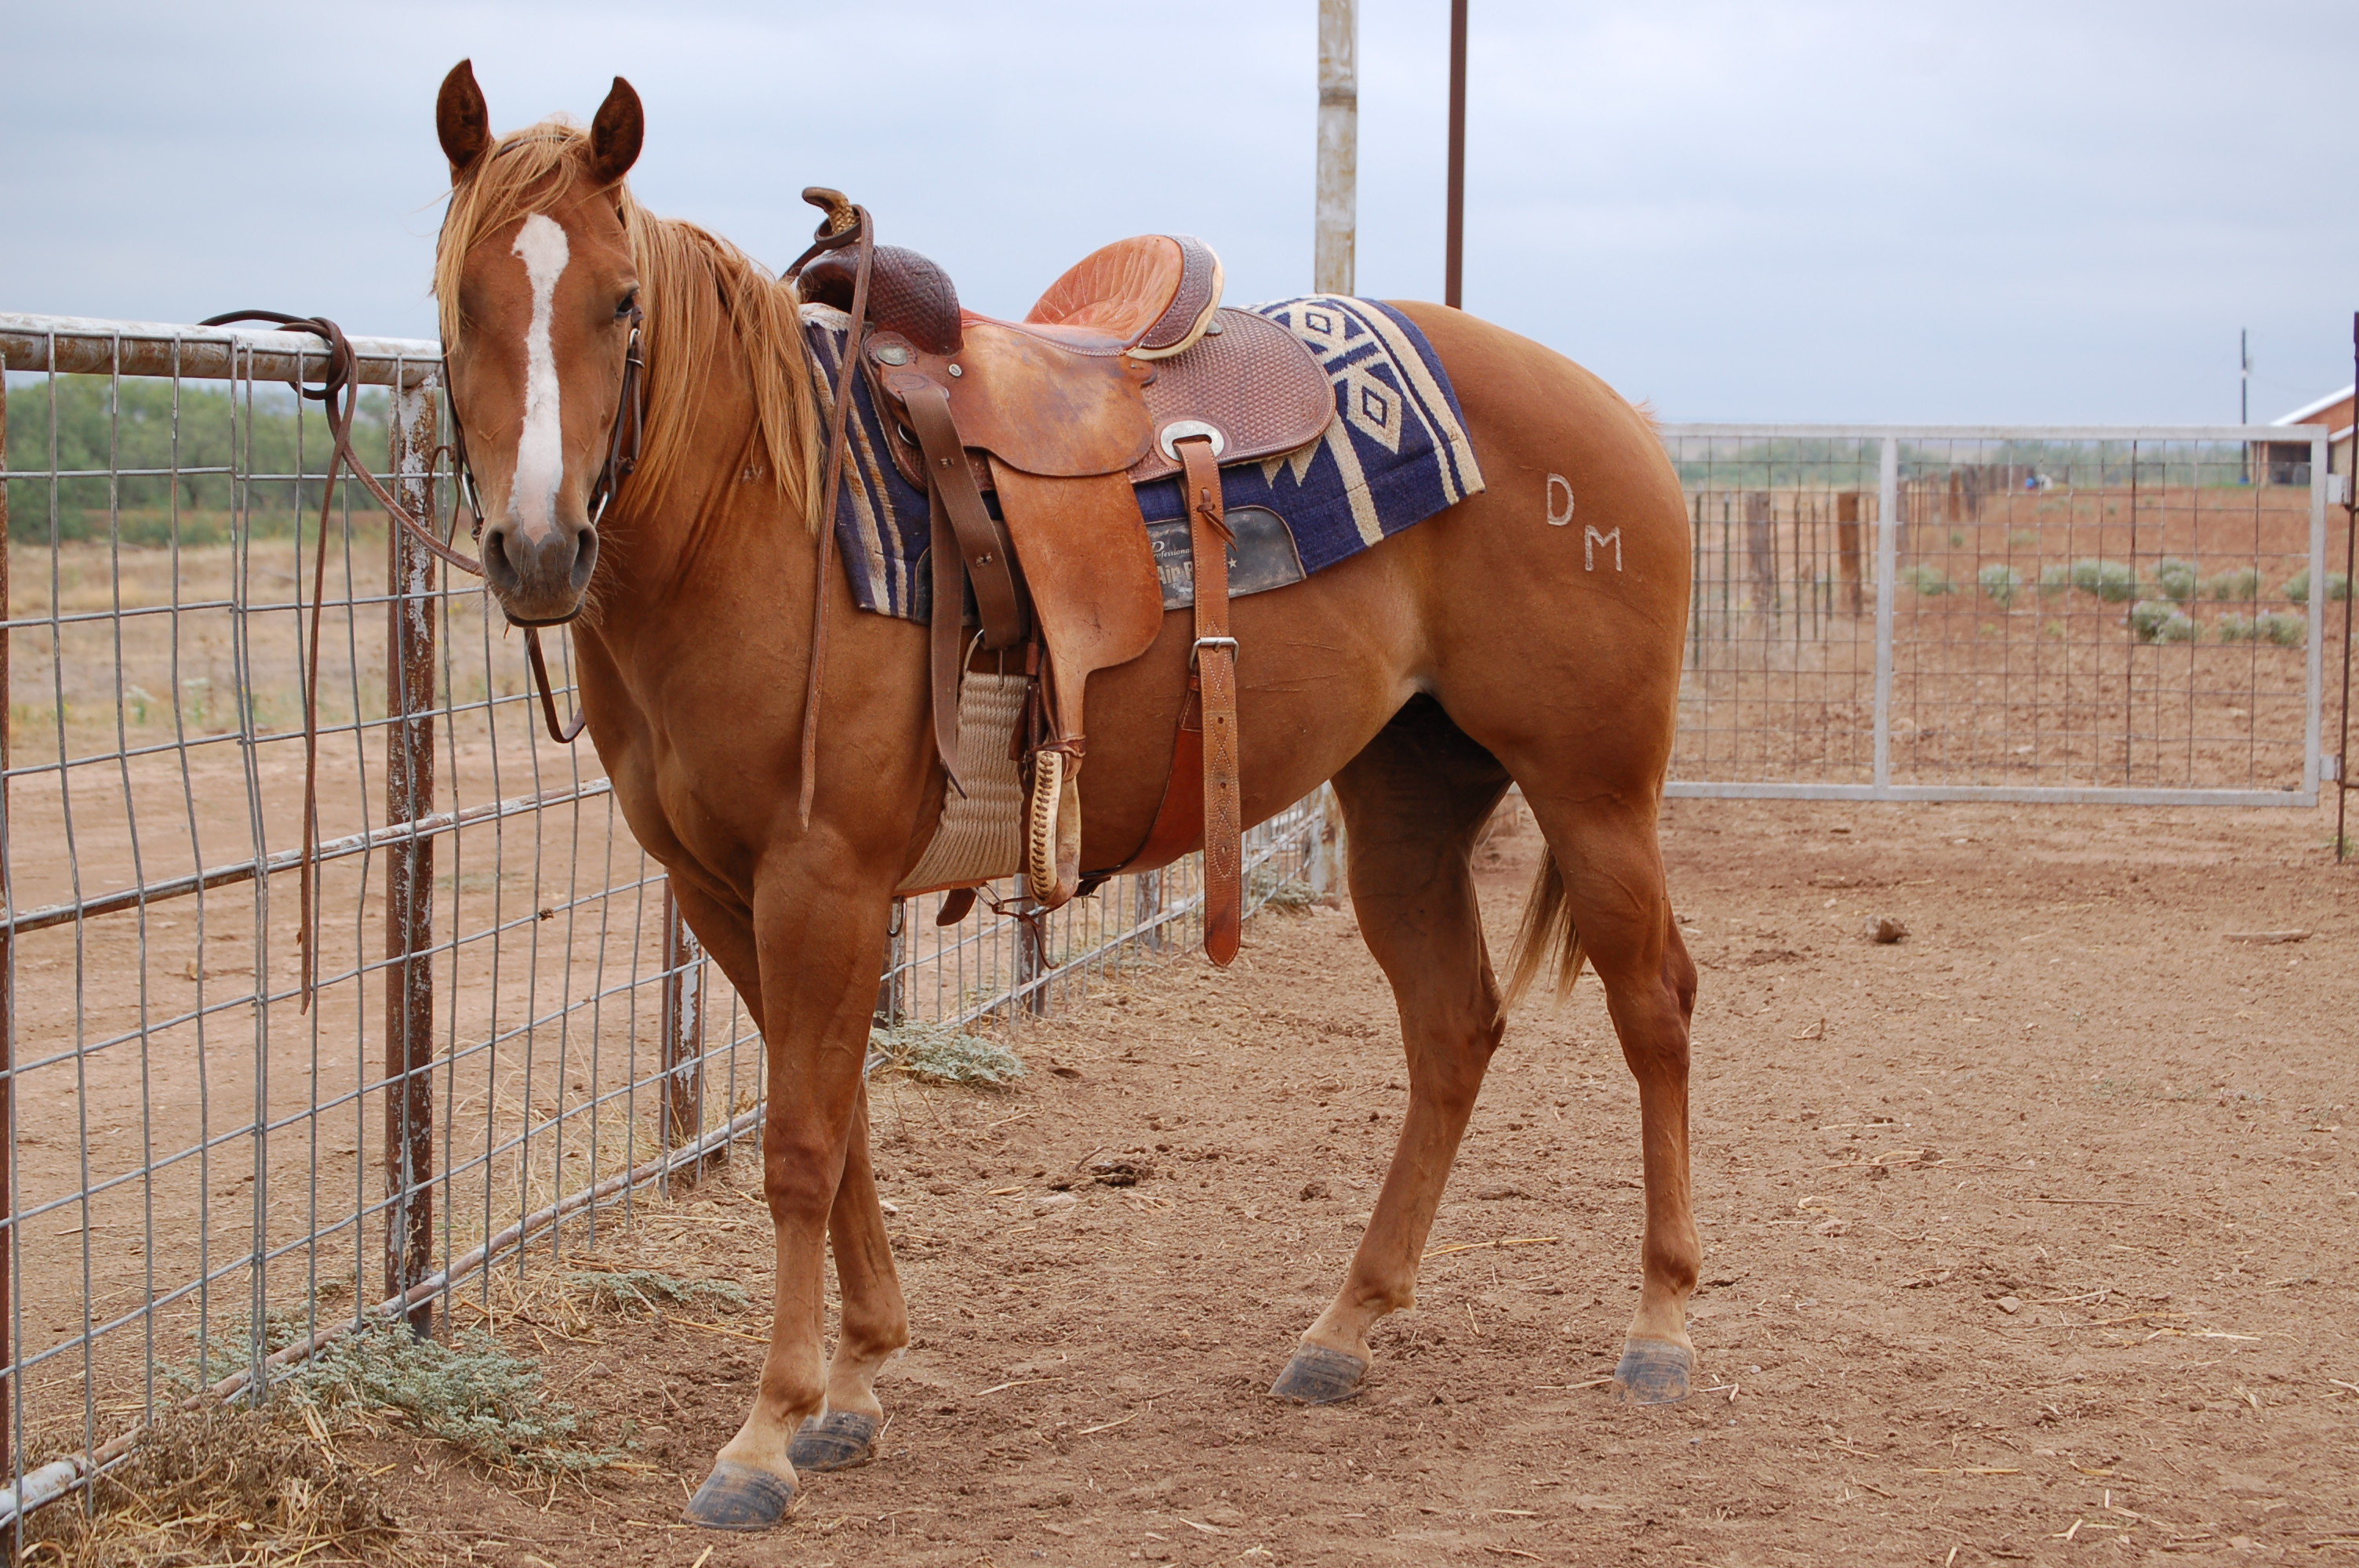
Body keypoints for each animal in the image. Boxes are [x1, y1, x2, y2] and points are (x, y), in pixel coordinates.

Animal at [429, 64, 1698, 1527]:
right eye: (461, 297)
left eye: (622, 301)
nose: (536, 548)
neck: (760, 520)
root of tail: (1611, 412)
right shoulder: (720, 893)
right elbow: (840, 1127)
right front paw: (856, 1383)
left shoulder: (821, 880)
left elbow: (800, 1143)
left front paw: (764, 1435)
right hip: (1405, 808)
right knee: (1451, 1031)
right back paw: (1345, 1327)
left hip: (1593, 792)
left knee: (1653, 1006)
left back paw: (1660, 1327)